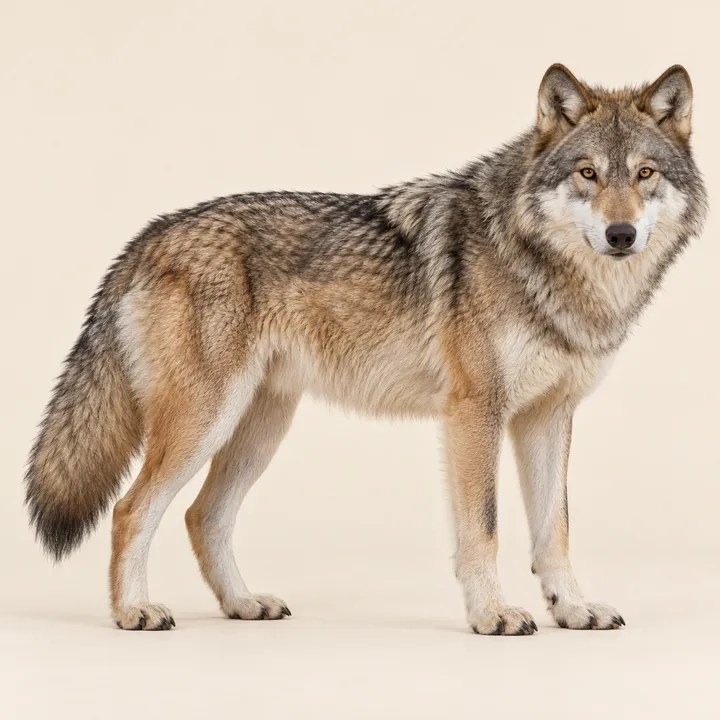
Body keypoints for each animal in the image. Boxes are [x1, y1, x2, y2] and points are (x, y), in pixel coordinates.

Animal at [25, 65, 706, 633]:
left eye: (644, 174)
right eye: (587, 174)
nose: (621, 234)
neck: (547, 269)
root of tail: (147, 236)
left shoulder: (547, 417)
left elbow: (555, 532)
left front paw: (573, 609)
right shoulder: (475, 413)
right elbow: (483, 528)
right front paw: (492, 615)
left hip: (258, 430)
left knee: (202, 516)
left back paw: (243, 604)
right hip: (205, 421)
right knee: (131, 509)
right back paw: (134, 611)